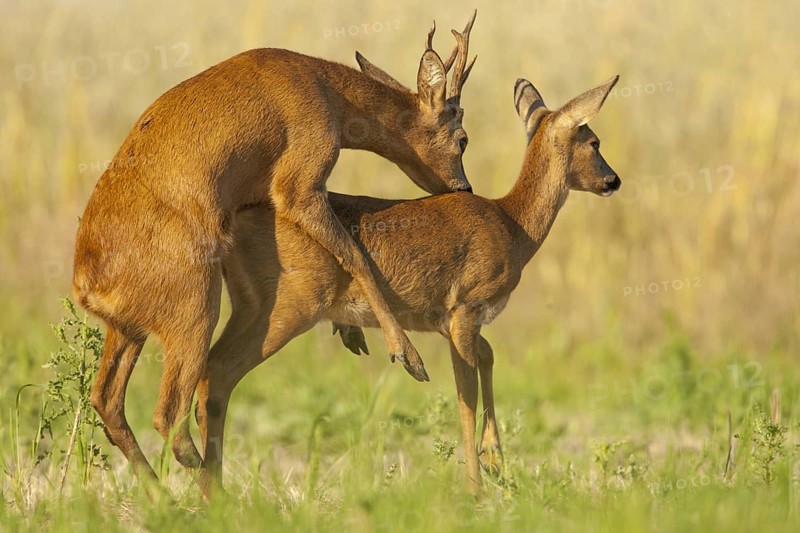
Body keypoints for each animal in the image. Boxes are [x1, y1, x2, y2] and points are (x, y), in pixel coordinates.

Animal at [72, 11, 478, 483]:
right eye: (462, 137)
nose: (464, 188)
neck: (324, 89)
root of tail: (86, 283)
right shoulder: (299, 186)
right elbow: (354, 253)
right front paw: (407, 355)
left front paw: (353, 333)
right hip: (196, 308)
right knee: (170, 412)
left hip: (128, 331)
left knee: (108, 401)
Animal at [197, 74, 621, 494]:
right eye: (594, 141)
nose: (612, 180)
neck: (513, 225)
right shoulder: (465, 308)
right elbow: (464, 396)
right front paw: (477, 488)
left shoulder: (446, 321)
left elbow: (487, 357)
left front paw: (495, 461)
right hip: (291, 305)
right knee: (217, 372)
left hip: (251, 306)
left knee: (211, 373)